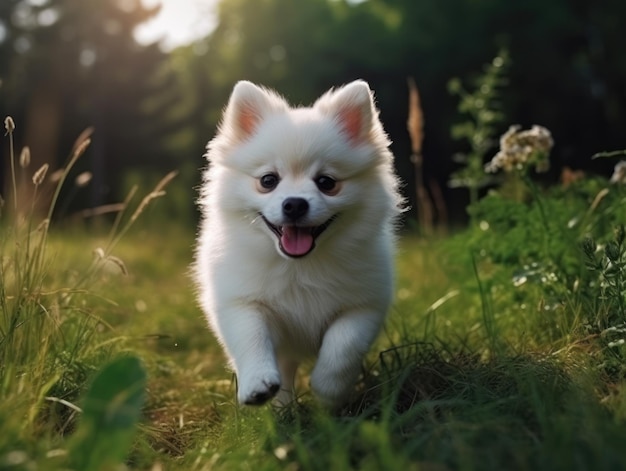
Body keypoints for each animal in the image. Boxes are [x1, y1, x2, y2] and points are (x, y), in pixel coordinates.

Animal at [193, 79, 402, 408]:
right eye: (268, 180)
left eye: (327, 183)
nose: (294, 204)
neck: (299, 267)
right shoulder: (241, 301)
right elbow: (251, 337)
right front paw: (257, 384)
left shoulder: (364, 305)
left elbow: (343, 345)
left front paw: (328, 391)